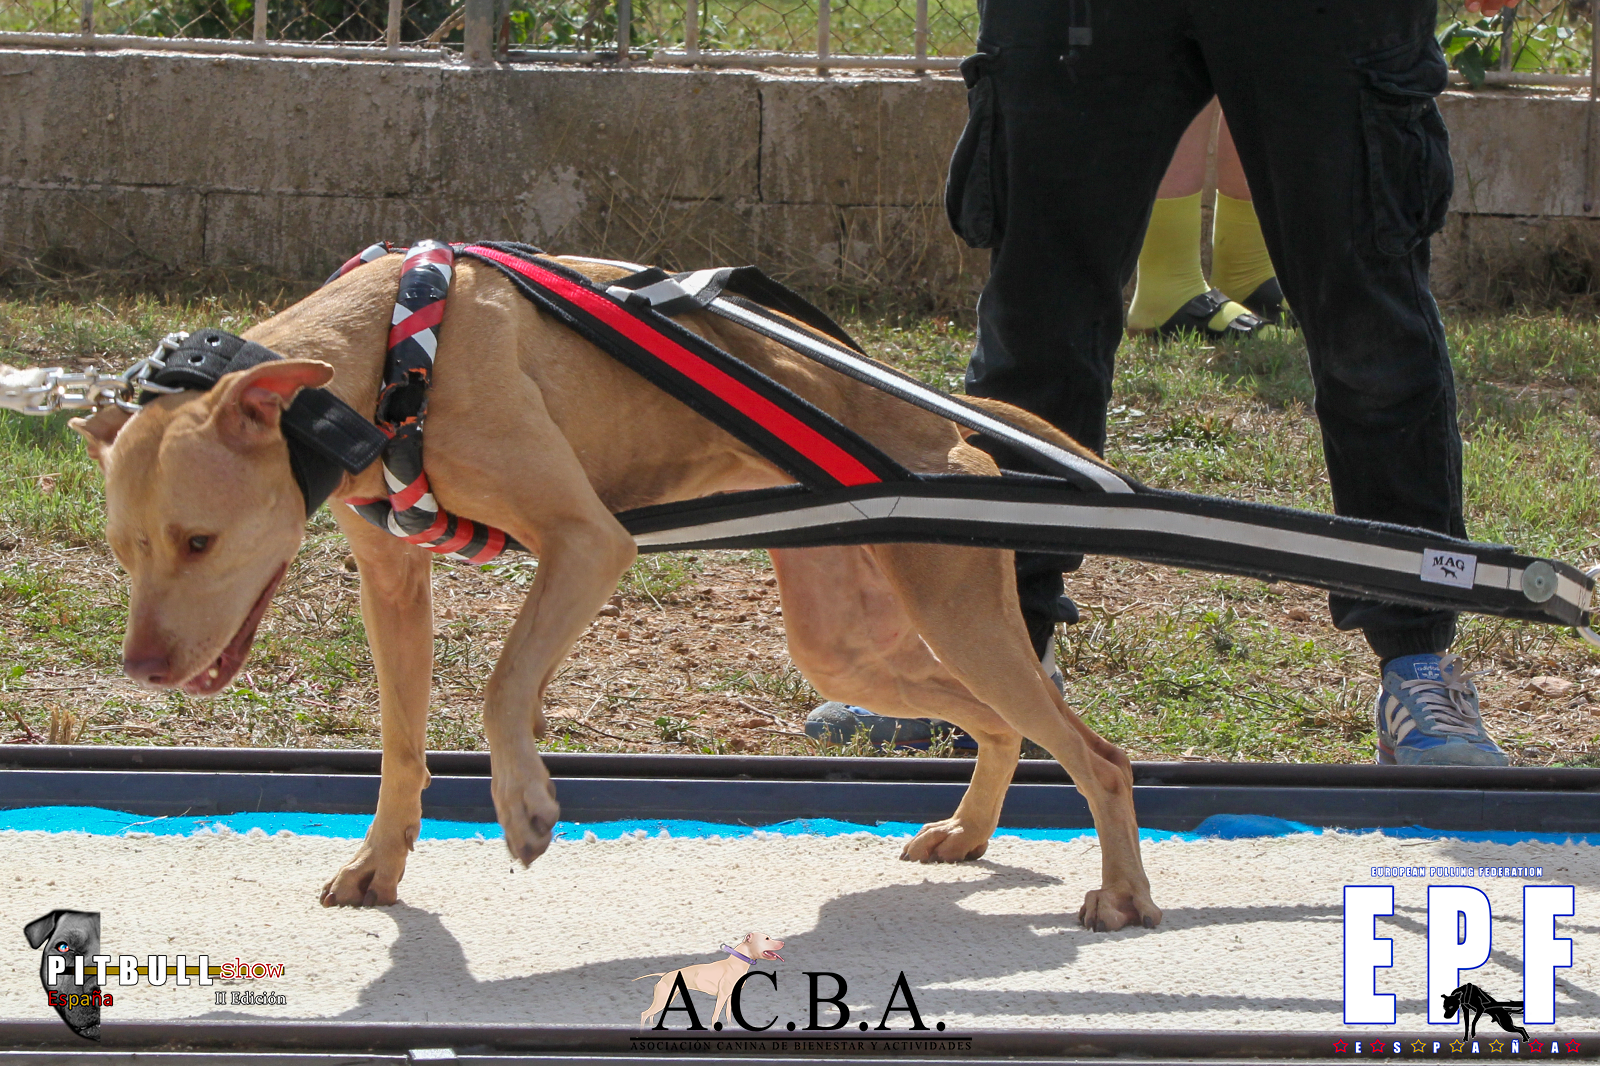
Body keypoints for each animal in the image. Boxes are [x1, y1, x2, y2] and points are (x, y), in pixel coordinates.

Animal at [68, 252, 1160, 931]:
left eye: (199, 540)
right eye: (125, 551)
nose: (143, 669)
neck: (392, 351)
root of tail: (949, 426)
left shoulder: (589, 544)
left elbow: (501, 684)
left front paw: (523, 804)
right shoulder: (394, 584)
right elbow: (401, 745)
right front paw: (381, 862)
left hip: (954, 615)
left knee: (1098, 755)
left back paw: (1123, 897)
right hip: (853, 647)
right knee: (1005, 726)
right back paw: (971, 833)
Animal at [635, 932, 785, 1028]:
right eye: (767, 938)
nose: (783, 942)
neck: (737, 962)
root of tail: (664, 975)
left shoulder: (730, 996)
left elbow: (728, 1014)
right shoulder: (722, 996)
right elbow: (715, 1016)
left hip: (666, 1000)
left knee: (651, 1015)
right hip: (662, 999)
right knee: (644, 1014)